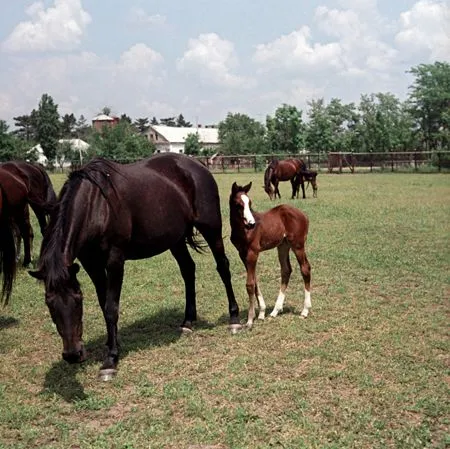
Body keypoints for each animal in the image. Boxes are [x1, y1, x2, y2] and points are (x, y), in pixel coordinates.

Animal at [28, 153, 243, 378]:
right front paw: (111, 343)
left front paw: (110, 360)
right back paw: (188, 322)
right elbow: (103, 303)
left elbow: (111, 307)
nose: (72, 354)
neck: (96, 204)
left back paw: (234, 319)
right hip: (175, 239)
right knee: (188, 269)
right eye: (49, 302)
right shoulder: (91, 264)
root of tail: (197, 165)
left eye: (78, 300)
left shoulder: (115, 260)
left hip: (211, 228)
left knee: (223, 267)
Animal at [230, 180, 312, 328]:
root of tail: (304, 215)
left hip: (297, 245)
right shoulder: (242, 254)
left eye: (250, 203)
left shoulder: (253, 253)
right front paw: (261, 313)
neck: (243, 231)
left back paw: (305, 310)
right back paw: (275, 310)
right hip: (283, 245)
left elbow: (250, 284)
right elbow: (254, 280)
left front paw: (250, 320)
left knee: (305, 268)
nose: (251, 224)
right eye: (238, 204)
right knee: (286, 270)